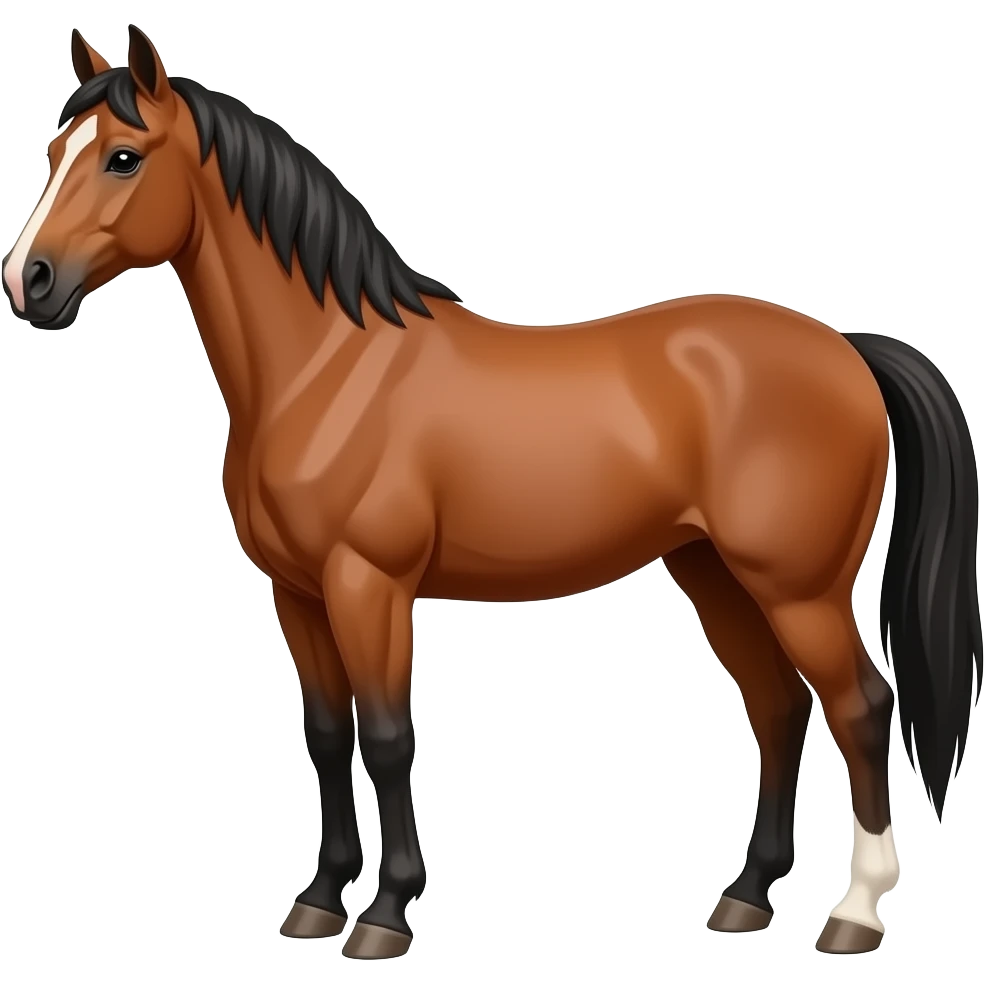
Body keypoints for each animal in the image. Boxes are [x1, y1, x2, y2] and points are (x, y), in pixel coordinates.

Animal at [3, 25, 981, 961]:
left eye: (122, 156)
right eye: (53, 151)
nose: (28, 281)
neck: (327, 367)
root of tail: (845, 346)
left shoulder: (368, 584)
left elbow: (386, 736)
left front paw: (385, 914)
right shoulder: (297, 591)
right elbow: (326, 735)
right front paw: (318, 900)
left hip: (797, 587)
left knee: (861, 708)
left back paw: (854, 914)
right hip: (713, 572)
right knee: (777, 707)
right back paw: (745, 897)